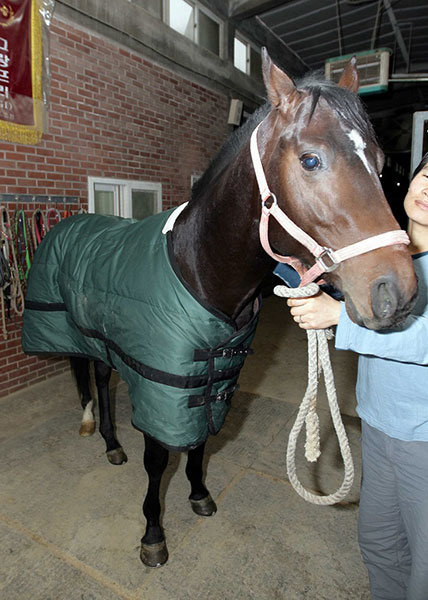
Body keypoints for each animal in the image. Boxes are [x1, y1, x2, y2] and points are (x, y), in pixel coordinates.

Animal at [20, 50, 418, 568]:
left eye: (380, 164)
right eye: (311, 159)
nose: (397, 292)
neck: (197, 269)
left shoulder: (214, 381)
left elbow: (200, 445)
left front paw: (198, 494)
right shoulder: (162, 386)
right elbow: (158, 460)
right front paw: (153, 533)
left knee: (103, 379)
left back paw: (110, 442)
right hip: (74, 334)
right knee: (88, 379)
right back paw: (98, 431)